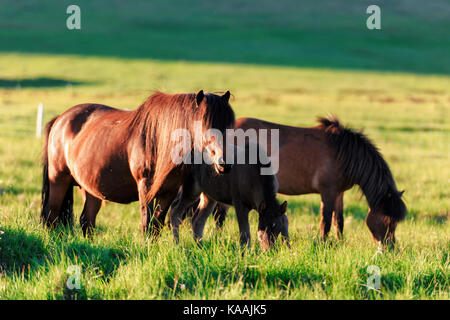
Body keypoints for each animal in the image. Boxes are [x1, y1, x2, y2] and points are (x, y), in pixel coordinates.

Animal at [41, 90, 236, 238]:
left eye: (229, 126)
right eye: (205, 126)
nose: (225, 163)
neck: (160, 140)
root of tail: (60, 120)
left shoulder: (169, 191)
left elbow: (156, 225)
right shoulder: (145, 186)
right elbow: (146, 225)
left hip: (91, 189)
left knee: (86, 221)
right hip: (59, 180)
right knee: (52, 216)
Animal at [211, 116, 408, 246]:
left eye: (396, 223)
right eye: (387, 221)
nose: (390, 248)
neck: (342, 152)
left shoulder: (339, 193)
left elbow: (339, 221)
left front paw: (339, 242)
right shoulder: (327, 192)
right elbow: (326, 221)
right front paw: (323, 244)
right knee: (219, 215)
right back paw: (218, 239)